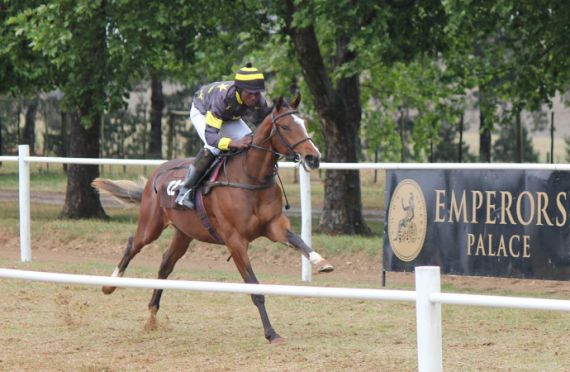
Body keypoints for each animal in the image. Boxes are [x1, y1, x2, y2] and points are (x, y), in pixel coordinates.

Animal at [92, 95, 332, 342]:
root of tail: (156, 173)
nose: (313, 157)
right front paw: (271, 333)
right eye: (285, 127)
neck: (250, 176)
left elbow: (299, 241)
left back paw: (152, 316)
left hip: (184, 233)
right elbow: (254, 287)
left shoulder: (274, 226)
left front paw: (321, 262)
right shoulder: (235, 241)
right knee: (133, 244)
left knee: (166, 264)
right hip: (151, 225)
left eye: (303, 124)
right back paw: (110, 285)